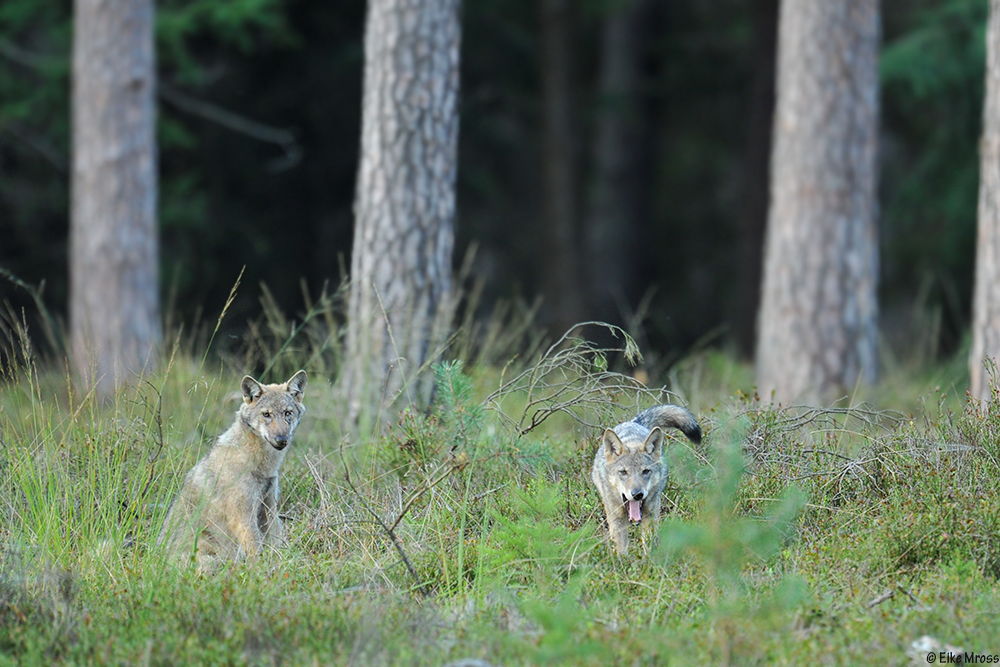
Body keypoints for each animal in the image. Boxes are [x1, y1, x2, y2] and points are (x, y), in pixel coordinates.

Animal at [158, 368, 306, 572]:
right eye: (266, 414)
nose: (281, 439)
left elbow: (277, 542)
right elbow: (257, 554)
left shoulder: (269, 509)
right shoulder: (243, 518)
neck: (262, 465)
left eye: (287, 413)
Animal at [588, 404, 700, 556]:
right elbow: (621, 551)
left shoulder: (650, 516)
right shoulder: (617, 519)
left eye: (645, 471)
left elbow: (649, 547)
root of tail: (633, 422)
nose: (637, 494)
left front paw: (648, 562)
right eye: (623, 472)